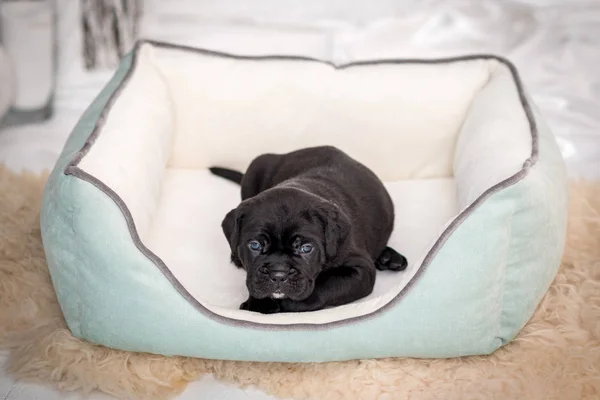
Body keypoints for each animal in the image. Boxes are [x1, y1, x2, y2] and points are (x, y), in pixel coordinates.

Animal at [211, 145, 408, 314]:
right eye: (255, 246)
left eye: (306, 248)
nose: (278, 274)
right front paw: (258, 303)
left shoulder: (360, 270)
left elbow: (325, 286)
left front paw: (283, 303)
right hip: (255, 169)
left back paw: (389, 257)